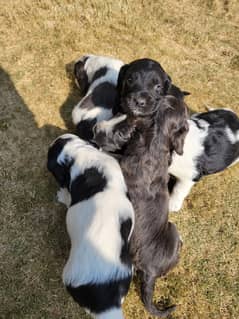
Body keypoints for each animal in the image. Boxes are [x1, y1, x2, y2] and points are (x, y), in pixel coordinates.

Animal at [94, 59, 190, 318]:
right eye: (130, 79)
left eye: (158, 88)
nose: (142, 102)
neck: (154, 141)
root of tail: (150, 273)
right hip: (173, 231)